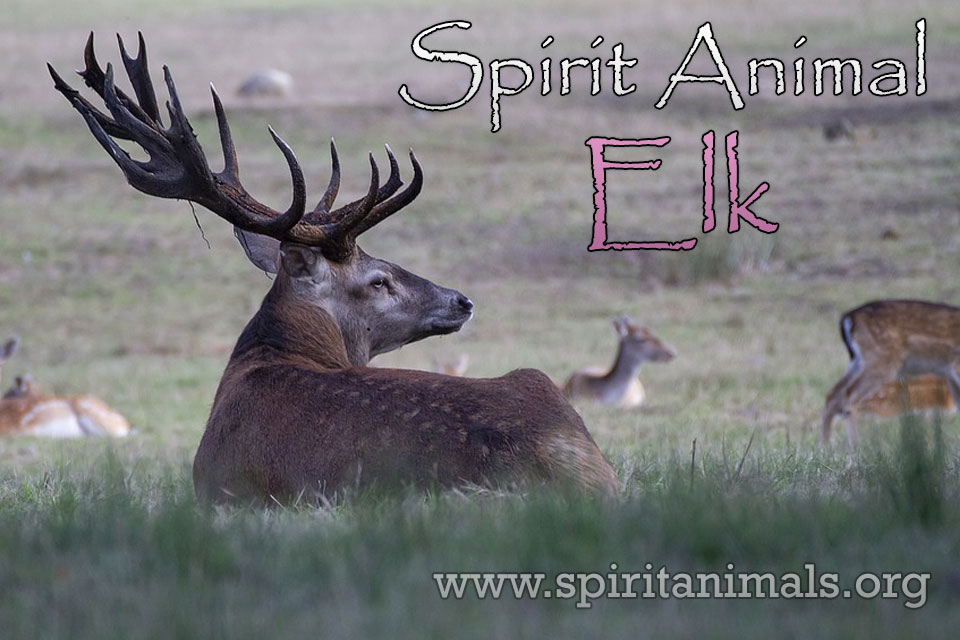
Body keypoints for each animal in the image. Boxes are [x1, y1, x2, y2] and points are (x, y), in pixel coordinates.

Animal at [822, 299, 960, 448]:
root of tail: (848, 318)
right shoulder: (956, 367)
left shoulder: (949, 375)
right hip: (881, 360)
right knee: (848, 395)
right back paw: (856, 449)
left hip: (858, 361)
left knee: (833, 394)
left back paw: (824, 448)